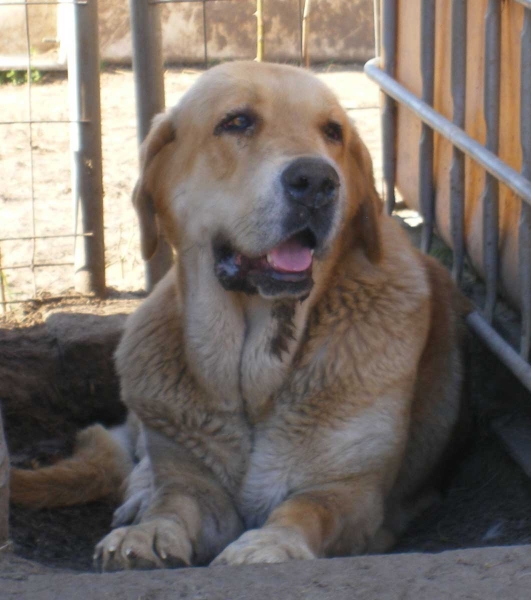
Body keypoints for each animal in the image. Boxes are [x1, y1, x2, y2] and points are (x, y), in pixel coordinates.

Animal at [10, 62, 470, 572]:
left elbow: (306, 509)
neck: (253, 378)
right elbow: (174, 501)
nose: (317, 181)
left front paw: (271, 543)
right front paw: (148, 531)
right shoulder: (197, 484)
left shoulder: (350, 494)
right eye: (237, 122)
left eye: (333, 132)